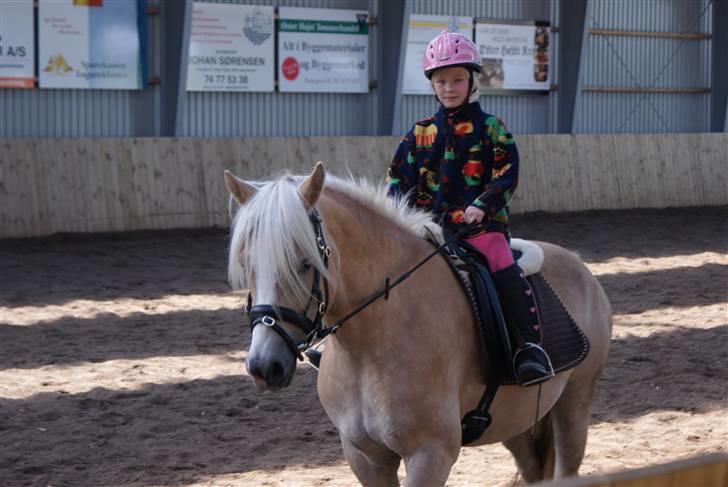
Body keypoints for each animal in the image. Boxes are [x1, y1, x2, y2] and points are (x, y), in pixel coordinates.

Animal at [225, 162, 612, 486]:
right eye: (246, 262)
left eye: (305, 263)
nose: (265, 366)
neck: (371, 343)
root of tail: (578, 264)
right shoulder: (366, 457)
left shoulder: (430, 454)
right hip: (518, 423)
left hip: (574, 405)